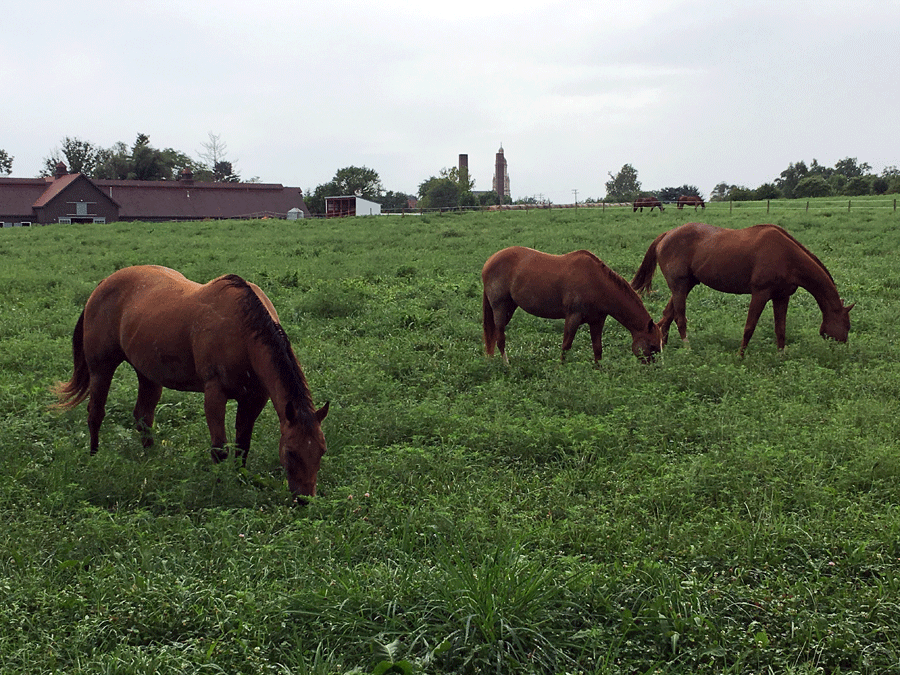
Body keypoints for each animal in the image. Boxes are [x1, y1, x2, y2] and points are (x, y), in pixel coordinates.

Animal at [53, 265, 329, 499]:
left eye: (321, 450)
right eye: (291, 452)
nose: (304, 499)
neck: (242, 330)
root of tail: (102, 285)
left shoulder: (254, 398)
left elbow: (242, 444)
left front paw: (240, 479)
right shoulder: (215, 393)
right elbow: (219, 448)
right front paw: (220, 486)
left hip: (148, 375)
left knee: (143, 417)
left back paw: (152, 458)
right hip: (101, 368)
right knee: (95, 414)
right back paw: (94, 457)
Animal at [482, 246, 662, 364]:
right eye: (653, 346)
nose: (654, 370)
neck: (596, 282)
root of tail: (489, 261)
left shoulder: (597, 321)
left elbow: (597, 349)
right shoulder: (573, 317)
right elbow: (566, 346)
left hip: (509, 308)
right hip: (499, 308)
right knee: (500, 338)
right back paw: (507, 366)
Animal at [630, 223, 853, 356]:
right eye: (847, 326)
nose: (842, 348)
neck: (787, 256)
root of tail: (666, 234)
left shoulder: (781, 297)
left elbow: (780, 328)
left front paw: (781, 356)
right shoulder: (760, 294)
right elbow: (749, 327)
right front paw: (740, 355)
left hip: (686, 286)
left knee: (667, 315)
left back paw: (664, 345)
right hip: (679, 286)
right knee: (679, 318)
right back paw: (688, 349)